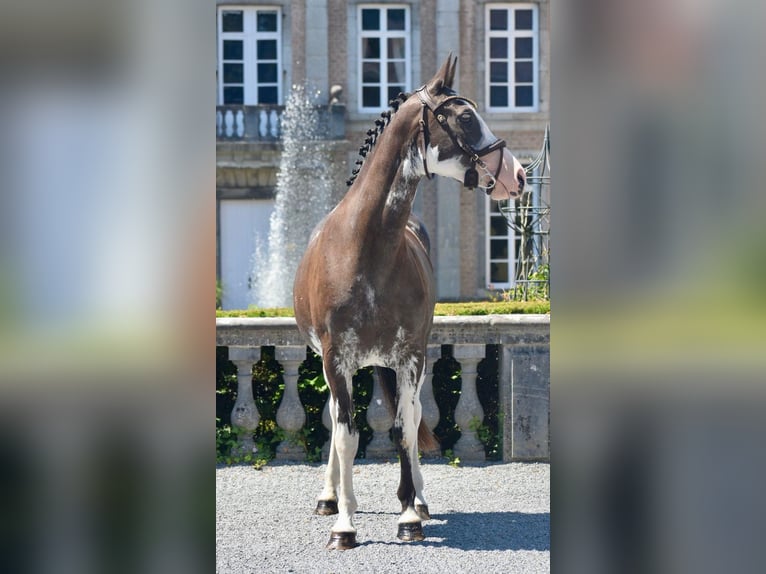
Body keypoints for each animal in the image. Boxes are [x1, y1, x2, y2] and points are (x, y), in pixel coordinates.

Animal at [293, 54, 526, 550]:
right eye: (464, 117)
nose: (516, 174)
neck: (366, 250)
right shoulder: (335, 360)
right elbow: (345, 435)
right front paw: (345, 523)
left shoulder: (409, 357)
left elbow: (403, 429)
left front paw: (408, 515)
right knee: (335, 422)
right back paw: (331, 497)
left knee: (413, 414)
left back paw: (417, 498)